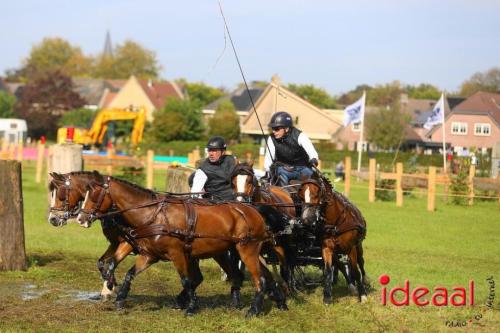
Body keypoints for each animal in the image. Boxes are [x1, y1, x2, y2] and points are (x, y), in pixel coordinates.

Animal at [46, 171, 244, 308]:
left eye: (61, 194)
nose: (53, 219)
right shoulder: (118, 243)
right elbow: (104, 263)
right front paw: (110, 288)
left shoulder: (126, 243)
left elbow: (110, 264)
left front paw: (110, 287)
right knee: (201, 277)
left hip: (212, 251)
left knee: (224, 273)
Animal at [74, 172, 286, 316]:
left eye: (94, 196)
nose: (80, 219)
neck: (153, 215)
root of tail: (253, 210)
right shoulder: (148, 255)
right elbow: (127, 273)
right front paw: (118, 297)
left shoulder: (177, 254)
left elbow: (186, 280)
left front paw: (191, 307)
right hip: (228, 251)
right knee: (246, 276)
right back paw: (267, 302)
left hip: (247, 250)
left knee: (260, 279)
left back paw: (254, 310)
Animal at [296, 174, 368, 304]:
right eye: (301, 195)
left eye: (317, 193)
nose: (306, 219)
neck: (336, 223)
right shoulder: (327, 248)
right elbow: (328, 271)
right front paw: (327, 297)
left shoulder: (351, 248)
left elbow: (355, 270)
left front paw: (363, 296)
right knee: (340, 264)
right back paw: (351, 285)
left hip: (358, 245)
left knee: (361, 262)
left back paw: (364, 281)